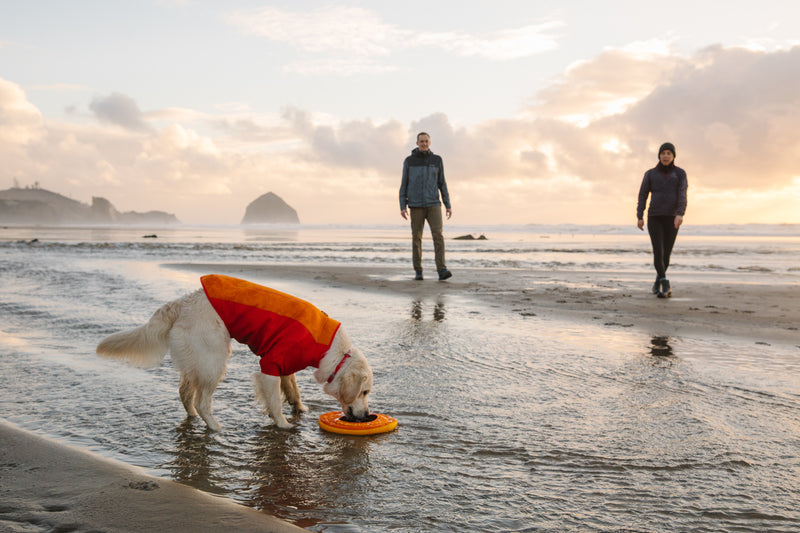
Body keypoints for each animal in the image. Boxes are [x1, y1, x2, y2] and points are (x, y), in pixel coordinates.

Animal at [96, 272, 372, 430]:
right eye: (365, 392)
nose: (367, 415)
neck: (328, 347)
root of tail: (181, 303)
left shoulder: (286, 365)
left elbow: (292, 390)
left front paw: (299, 409)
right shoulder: (270, 364)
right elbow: (275, 400)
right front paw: (283, 424)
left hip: (196, 360)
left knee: (185, 393)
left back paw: (193, 417)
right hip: (215, 360)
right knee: (202, 401)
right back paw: (215, 428)